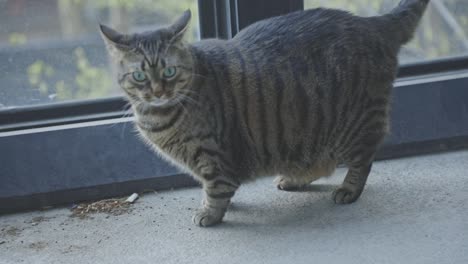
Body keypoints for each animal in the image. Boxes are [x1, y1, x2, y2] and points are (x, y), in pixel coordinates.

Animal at [100, 0, 430, 227]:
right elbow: (215, 186)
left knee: (364, 161)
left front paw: (210, 213)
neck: (161, 117)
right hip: (310, 136)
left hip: (357, 126)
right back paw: (294, 179)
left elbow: (216, 188)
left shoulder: (213, 156)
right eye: (139, 77)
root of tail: (372, 23)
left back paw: (348, 190)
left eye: (169, 71)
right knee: (323, 162)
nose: (158, 91)